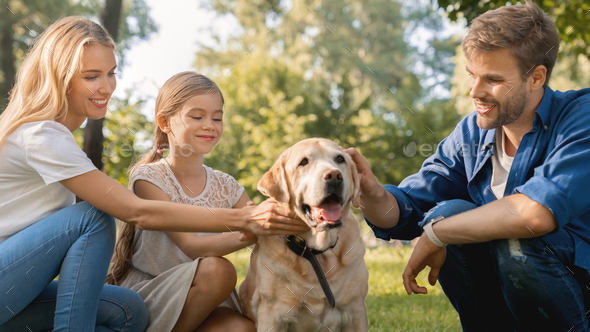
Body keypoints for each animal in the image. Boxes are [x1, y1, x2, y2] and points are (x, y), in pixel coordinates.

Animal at [238, 138, 368, 332]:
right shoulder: (272, 315)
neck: (316, 252)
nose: (334, 176)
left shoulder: (356, 310)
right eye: (303, 162)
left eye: (340, 159)